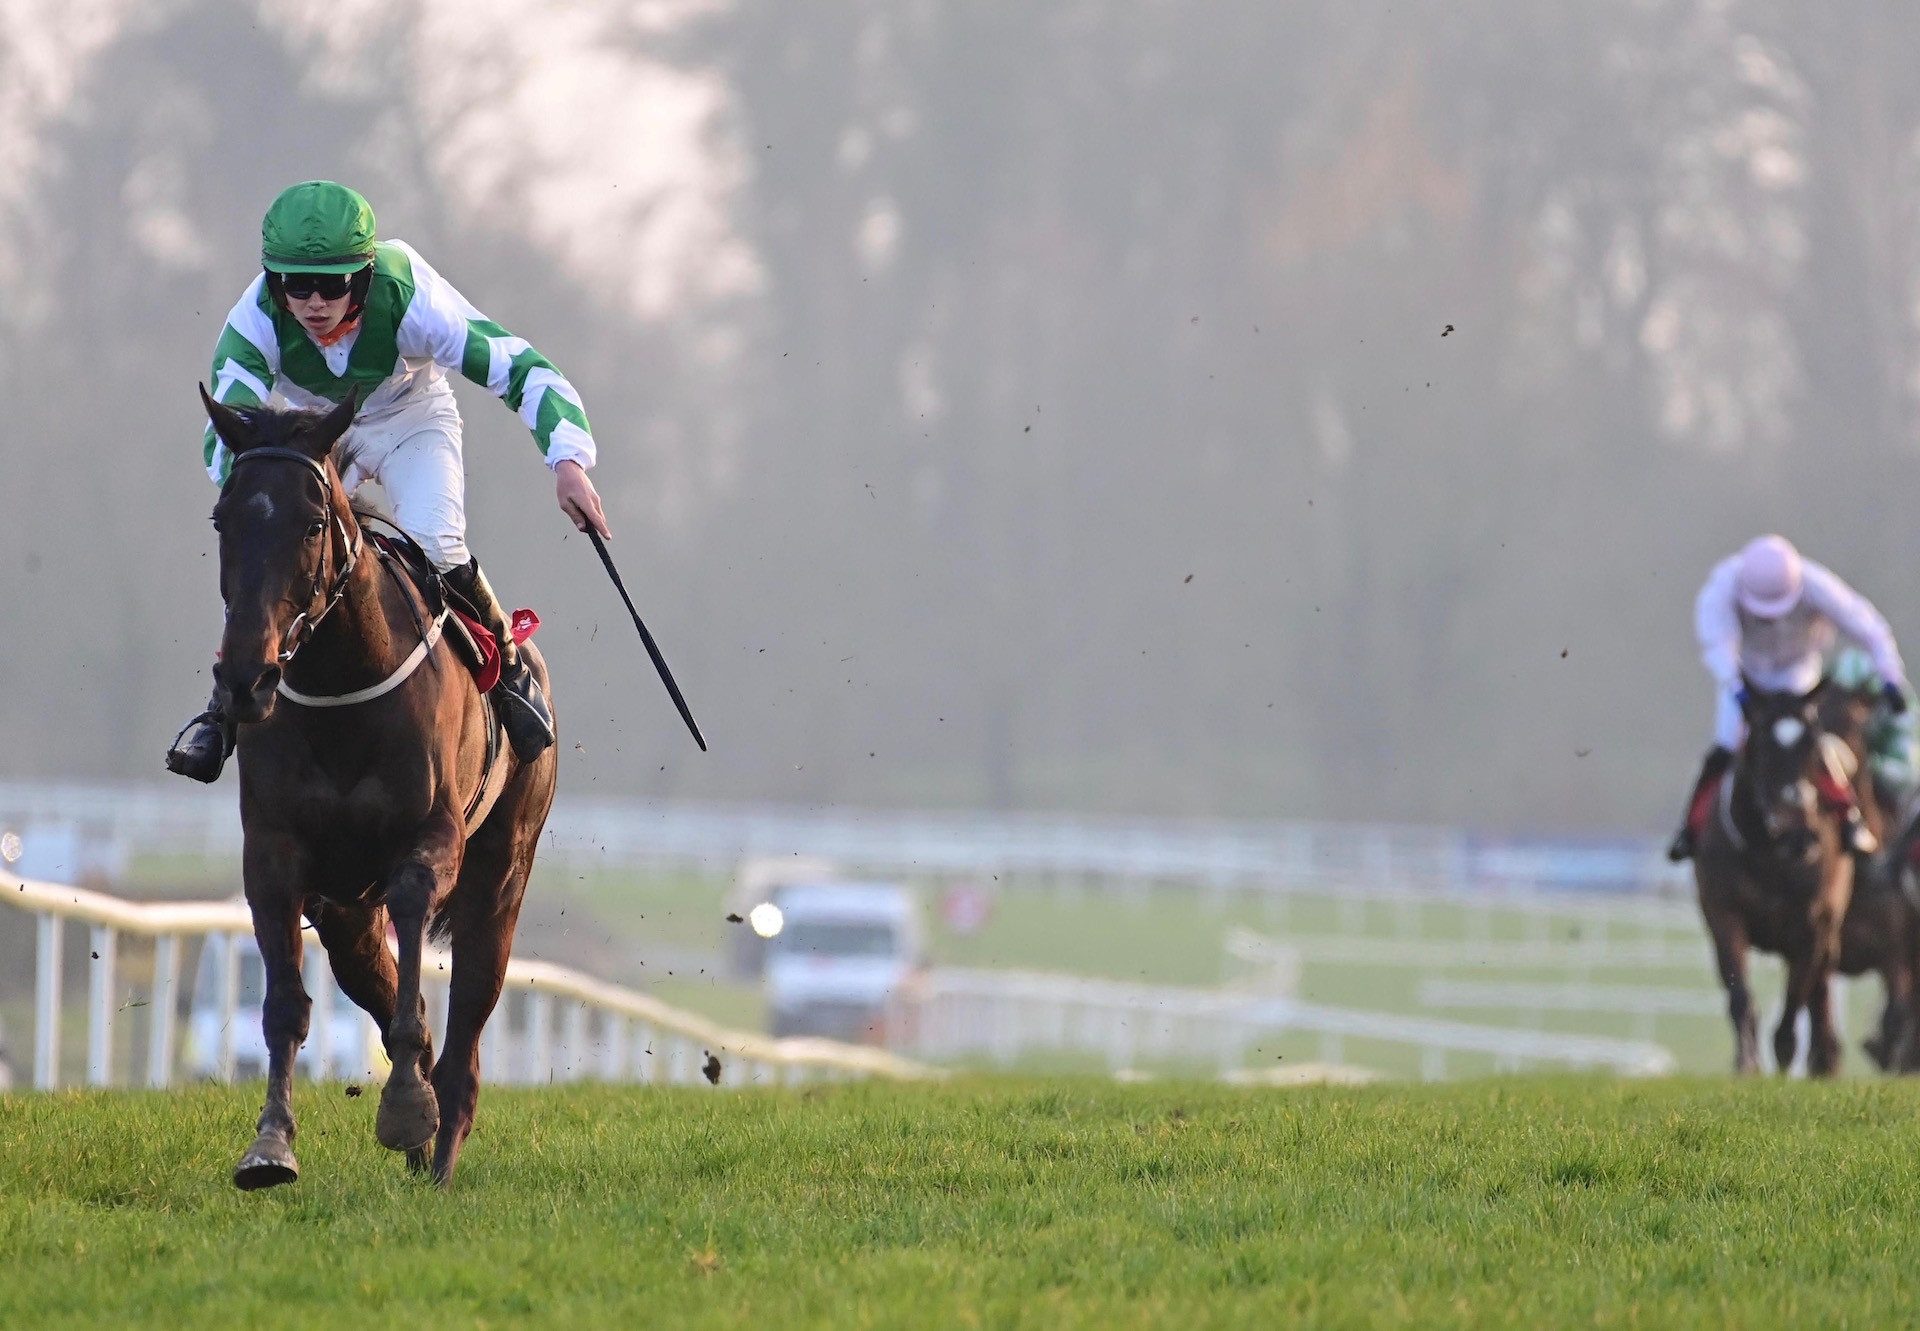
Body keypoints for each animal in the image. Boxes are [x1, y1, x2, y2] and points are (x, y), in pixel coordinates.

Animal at [200, 389, 556, 1190]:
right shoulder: (273, 854)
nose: (244, 678)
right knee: (381, 977)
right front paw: (270, 1144)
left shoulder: (430, 839)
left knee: (469, 1015)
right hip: (344, 912)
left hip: (503, 871)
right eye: (223, 518)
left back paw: (441, 1145)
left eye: (312, 523)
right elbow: (286, 1005)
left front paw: (405, 1106)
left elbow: (416, 924)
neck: (343, 690)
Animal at [1697, 679, 1858, 1075]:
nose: (1799, 836)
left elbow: (1798, 995)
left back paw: (1825, 1059)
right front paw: (1748, 1062)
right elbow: (1740, 993)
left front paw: (1785, 1057)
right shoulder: (1724, 912)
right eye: (1760, 745)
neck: (1769, 853)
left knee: (1820, 986)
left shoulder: (1813, 923)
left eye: (1812, 746)